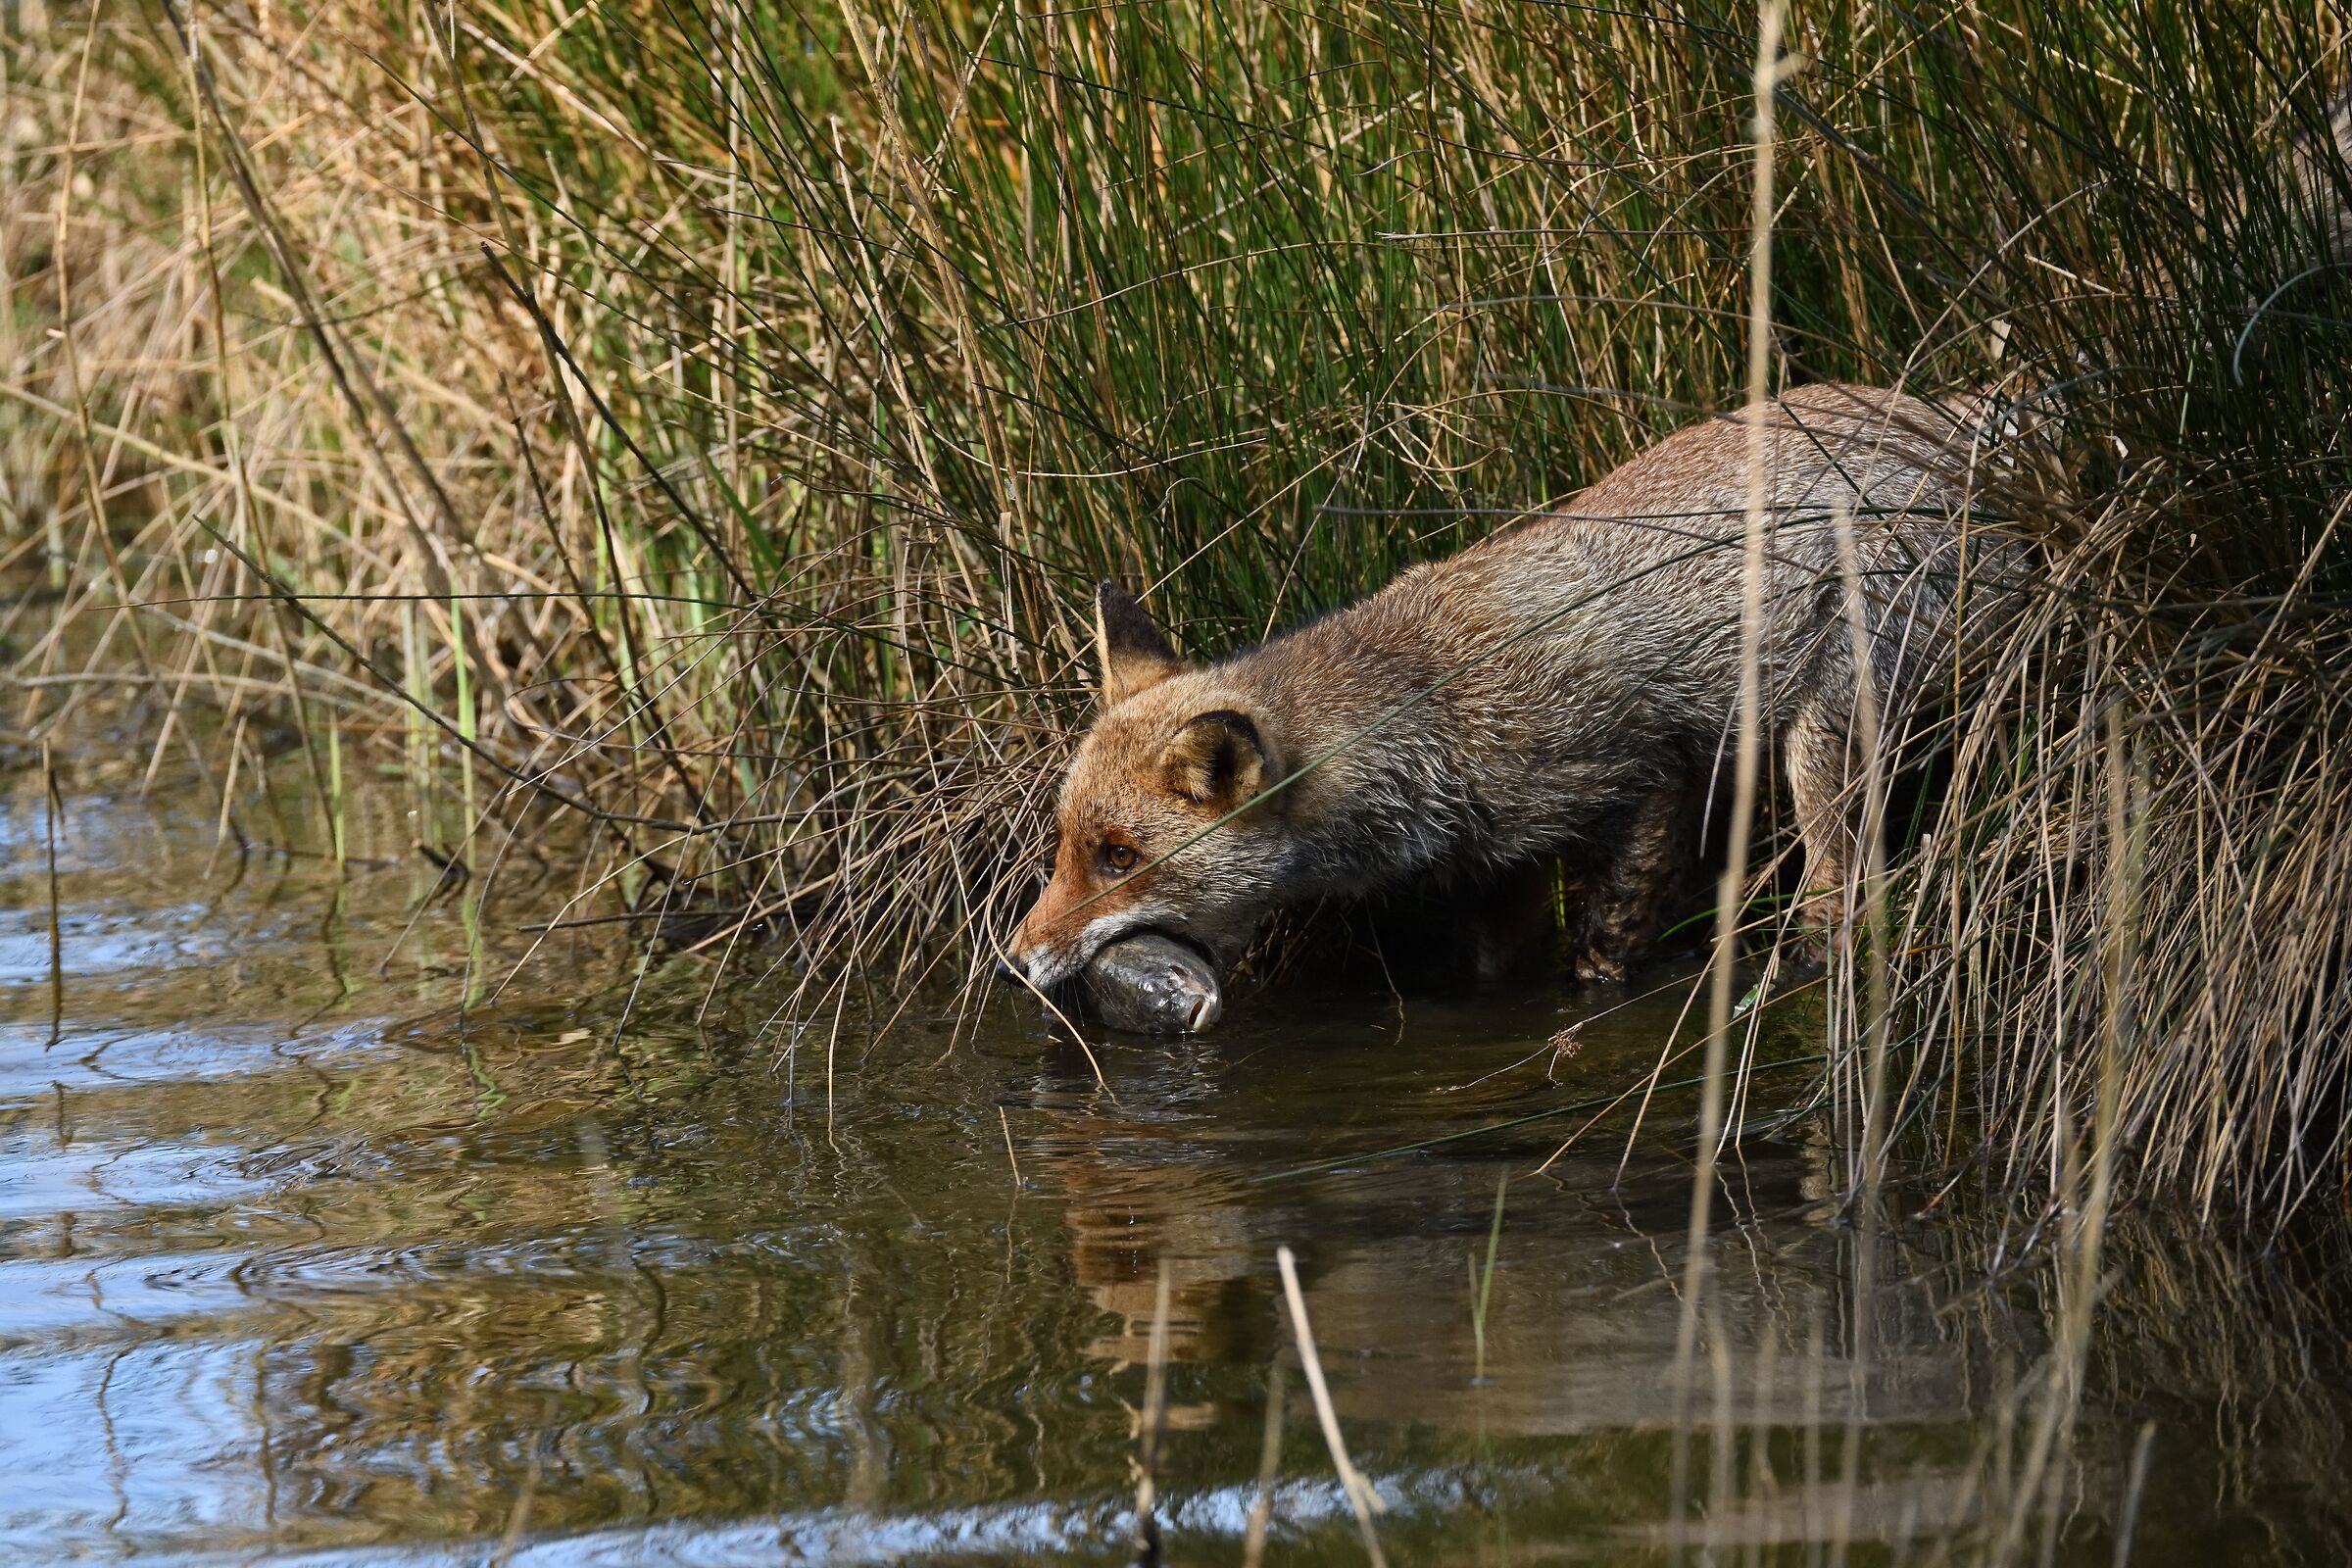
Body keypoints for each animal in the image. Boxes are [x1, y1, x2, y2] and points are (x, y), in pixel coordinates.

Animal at [1006, 382, 1998, 996]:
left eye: (1119, 858)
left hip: (1825, 729)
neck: (1432, 722)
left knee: (1845, 883)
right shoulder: (1500, 863)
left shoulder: (1645, 775)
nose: (1015, 963)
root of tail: (1944, 422)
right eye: (1061, 848)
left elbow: (1602, 953)